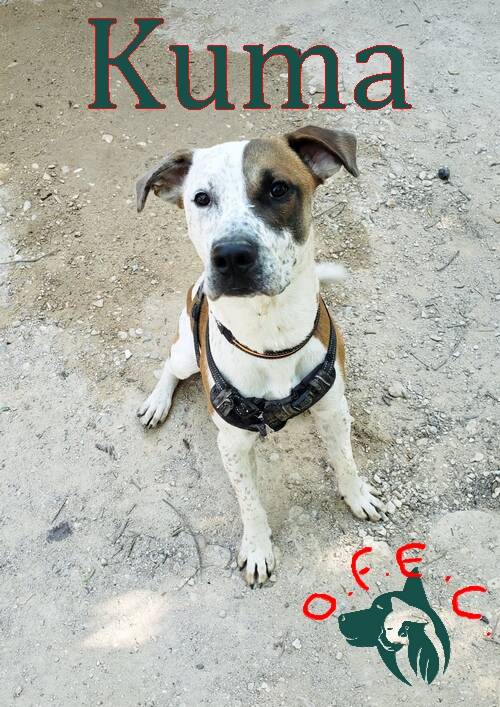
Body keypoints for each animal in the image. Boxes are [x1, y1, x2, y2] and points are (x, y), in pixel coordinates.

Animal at [135, 125, 383, 586]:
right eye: (201, 198)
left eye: (278, 188)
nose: (231, 255)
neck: (271, 334)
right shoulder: (232, 443)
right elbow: (250, 502)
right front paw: (256, 549)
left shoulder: (334, 410)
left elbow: (345, 461)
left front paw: (357, 495)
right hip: (185, 352)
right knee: (170, 367)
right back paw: (157, 402)